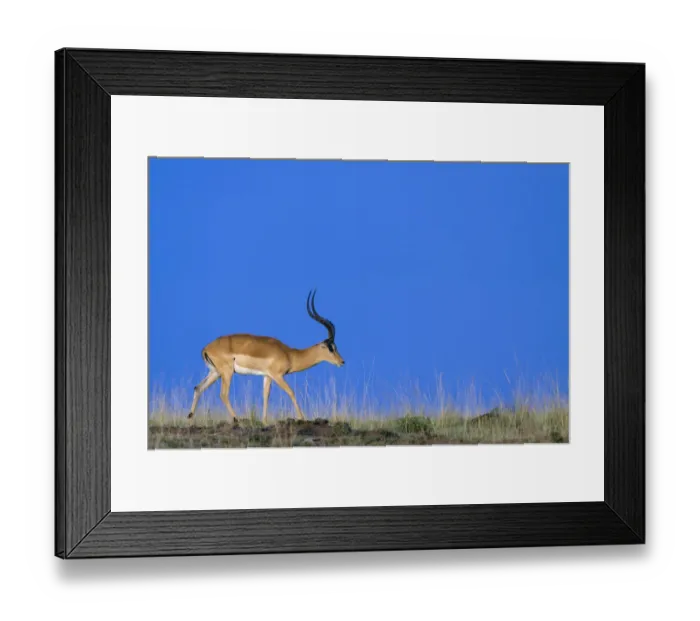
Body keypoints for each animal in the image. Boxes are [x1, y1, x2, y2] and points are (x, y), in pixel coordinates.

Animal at [187, 290, 344, 422]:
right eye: (331, 347)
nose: (342, 361)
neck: (289, 354)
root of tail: (207, 348)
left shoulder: (267, 376)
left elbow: (265, 396)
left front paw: (264, 421)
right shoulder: (277, 375)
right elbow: (291, 392)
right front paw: (302, 418)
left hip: (215, 372)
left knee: (198, 388)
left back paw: (190, 419)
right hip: (227, 372)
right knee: (223, 394)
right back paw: (238, 420)